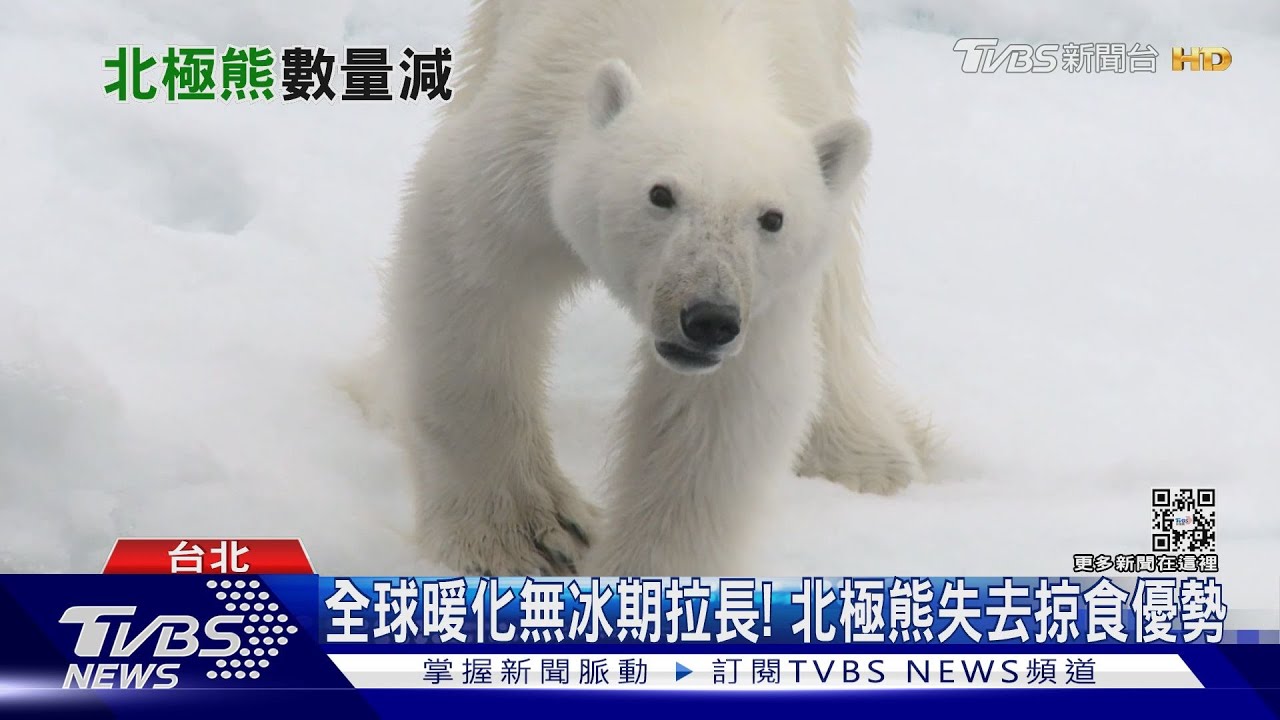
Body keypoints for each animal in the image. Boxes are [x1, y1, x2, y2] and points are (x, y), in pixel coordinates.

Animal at [379, 0, 932, 577]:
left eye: (773, 218)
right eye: (660, 194)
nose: (708, 319)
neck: (706, 36)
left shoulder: (766, 292)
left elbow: (716, 412)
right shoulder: (530, 130)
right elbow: (474, 283)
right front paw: (530, 538)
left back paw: (866, 458)